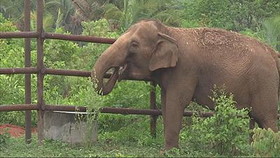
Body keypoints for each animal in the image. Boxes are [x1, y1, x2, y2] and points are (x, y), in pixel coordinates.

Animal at [91, 19, 278, 149]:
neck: (168, 31)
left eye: (134, 44)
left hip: (265, 83)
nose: (118, 70)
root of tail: (273, 53)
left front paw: (168, 151)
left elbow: (177, 102)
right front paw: (168, 149)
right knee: (259, 119)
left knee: (266, 118)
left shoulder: (185, 69)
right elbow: (166, 103)